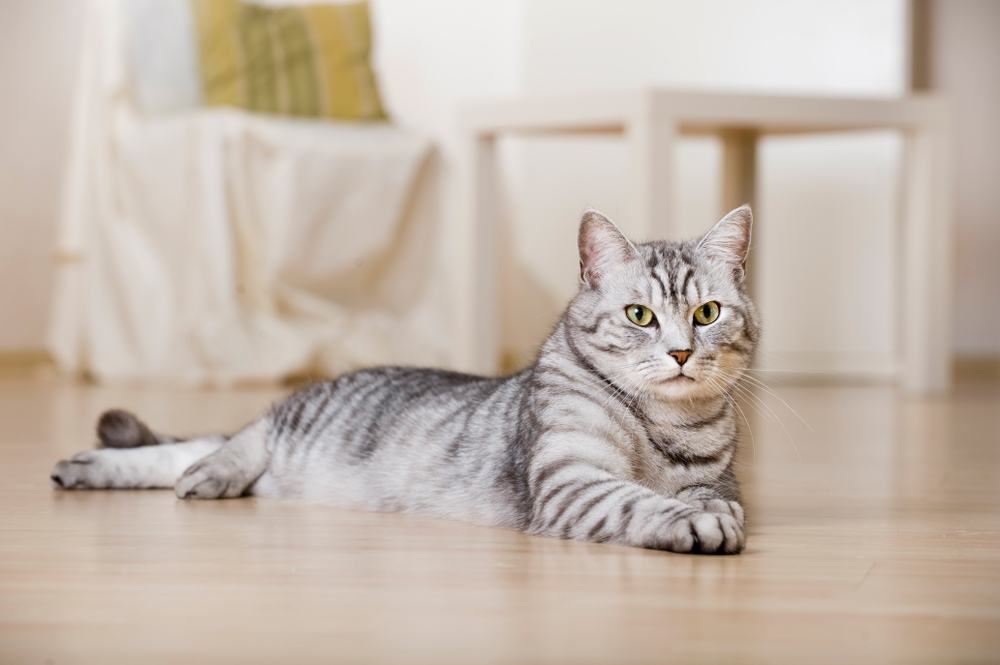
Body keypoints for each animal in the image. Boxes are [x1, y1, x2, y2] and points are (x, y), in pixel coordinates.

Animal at [50, 206, 756, 556]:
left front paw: (713, 511)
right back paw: (201, 475)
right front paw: (695, 523)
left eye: (707, 313)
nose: (681, 353)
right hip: (293, 422)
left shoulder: (718, 474)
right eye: (640, 316)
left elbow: (713, 494)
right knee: (236, 438)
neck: (662, 426)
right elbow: (641, 502)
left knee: (187, 449)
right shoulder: (573, 480)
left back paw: (84, 467)